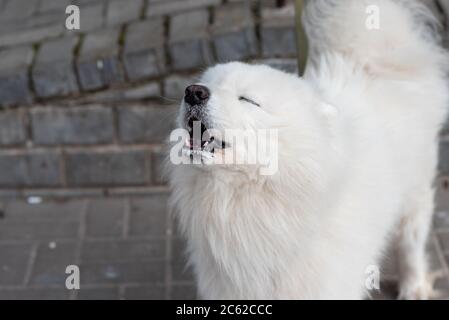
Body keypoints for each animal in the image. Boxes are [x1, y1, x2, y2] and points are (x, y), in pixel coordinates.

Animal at [167, 0, 448, 300]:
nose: (193, 91)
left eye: (248, 100)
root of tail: (371, 61)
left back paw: (414, 286)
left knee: (411, 243)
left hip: (415, 195)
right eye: (210, 84)